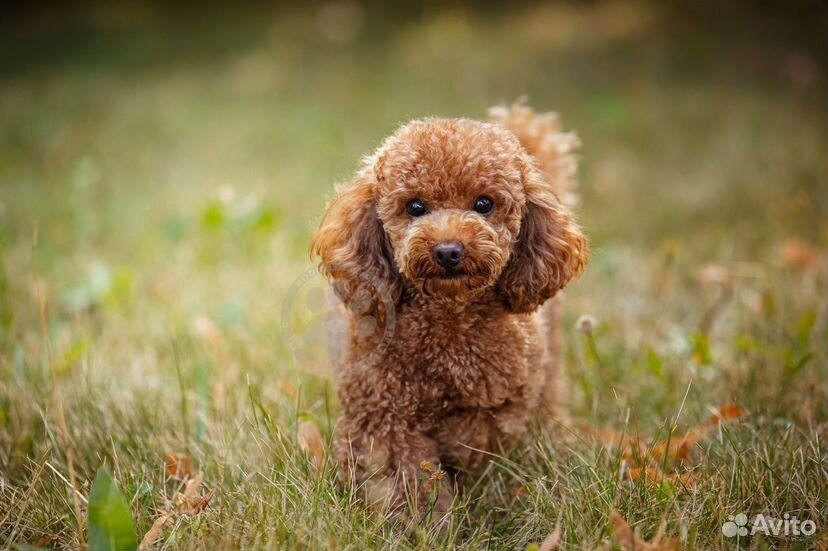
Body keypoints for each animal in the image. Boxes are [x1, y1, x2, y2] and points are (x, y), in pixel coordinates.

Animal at [310, 102, 588, 520]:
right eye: (415, 207)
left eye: (484, 204)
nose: (448, 251)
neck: (448, 323)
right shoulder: (383, 416)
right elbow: (406, 475)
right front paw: (422, 521)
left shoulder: (507, 402)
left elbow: (473, 432)